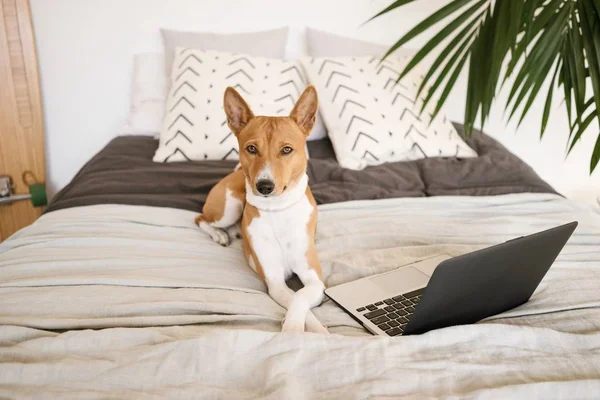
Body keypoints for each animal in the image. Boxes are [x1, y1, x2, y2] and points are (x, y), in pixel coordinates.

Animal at [196, 85, 328, 334]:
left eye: (287, 150)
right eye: (251, 148)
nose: (264, 186)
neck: (278, 211)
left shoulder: (314, 278)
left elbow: (301, 296)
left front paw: (307, 328)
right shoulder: (275, 282)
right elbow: (296, 298)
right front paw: (296, 328)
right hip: (229, 207)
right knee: (200, 219)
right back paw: (219, 234)